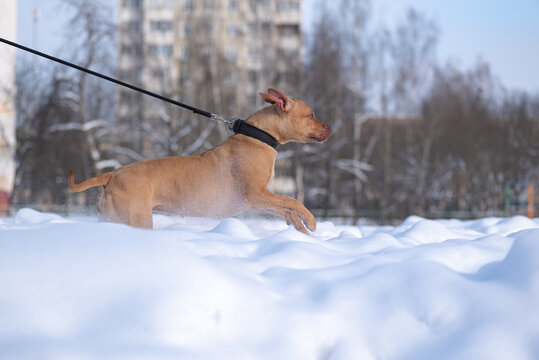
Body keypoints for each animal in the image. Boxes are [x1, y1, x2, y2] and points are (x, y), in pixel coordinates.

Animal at [69, 88, 332, 232]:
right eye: (311, 115)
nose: (330, 127)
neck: (258, 137)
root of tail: (112, 174)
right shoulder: (255, 193)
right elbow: (293, 201)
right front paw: (310, 221)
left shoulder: (258, 200)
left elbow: (285, 208)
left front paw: (300, 229)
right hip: (136, 218)